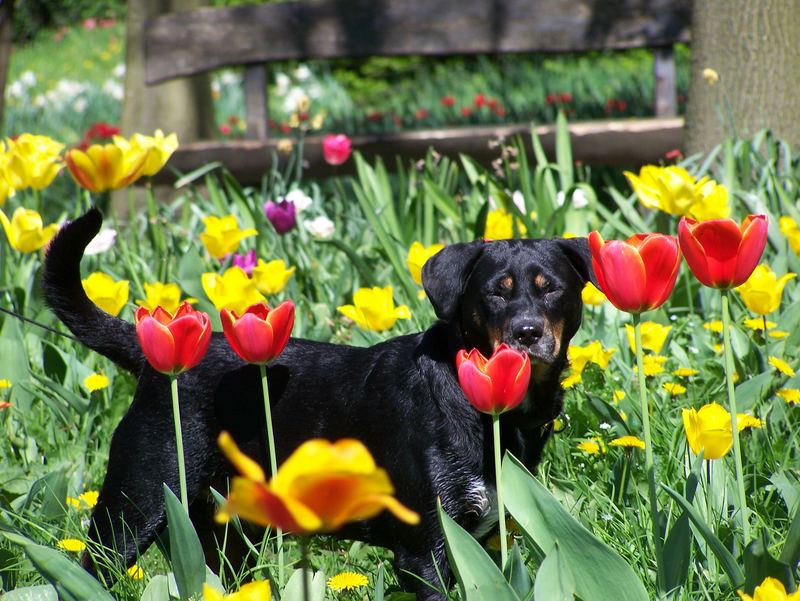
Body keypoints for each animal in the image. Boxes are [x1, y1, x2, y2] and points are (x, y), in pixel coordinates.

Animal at [42, 209, 592, 596]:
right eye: (496, 293)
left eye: (550, 289)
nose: (527, 333)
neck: (486, 410)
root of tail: (158, 359)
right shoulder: (425, 549)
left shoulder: (484, 539)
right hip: (134, 504)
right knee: (90, 570)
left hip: (227, 532)